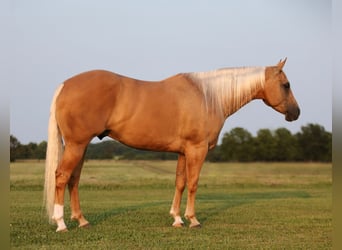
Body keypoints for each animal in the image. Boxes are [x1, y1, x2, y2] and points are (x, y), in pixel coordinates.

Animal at [43, 57, 300, 231]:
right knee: (62, 176)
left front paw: (177, 218)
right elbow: (194, 183)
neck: (207, 96)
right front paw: (193, 220)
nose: (296, 113)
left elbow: (180, 182)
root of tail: (66, 85)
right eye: (286, 84)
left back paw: (82, 220)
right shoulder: (197, 149)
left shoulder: (183, 152)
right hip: (76, 144)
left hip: (81, 145)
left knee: (74, 179)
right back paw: (61, 223)